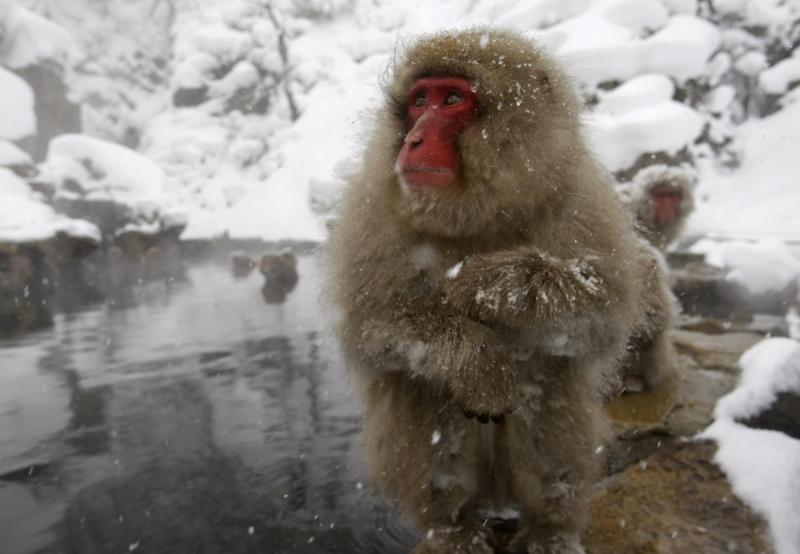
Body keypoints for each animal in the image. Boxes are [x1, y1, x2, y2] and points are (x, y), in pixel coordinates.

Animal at [324, 30, 668, 552]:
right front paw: (478, 359)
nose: (414, 139)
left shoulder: (579, 197)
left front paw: (490, 284)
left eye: (451, 100)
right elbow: (371, 325)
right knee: (425, 391)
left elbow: (603, 313)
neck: (474, 214)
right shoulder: (375, 210)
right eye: (419, 100)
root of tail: (495, 498)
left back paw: (550, 528)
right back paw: (451, 527)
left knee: (546, 387)